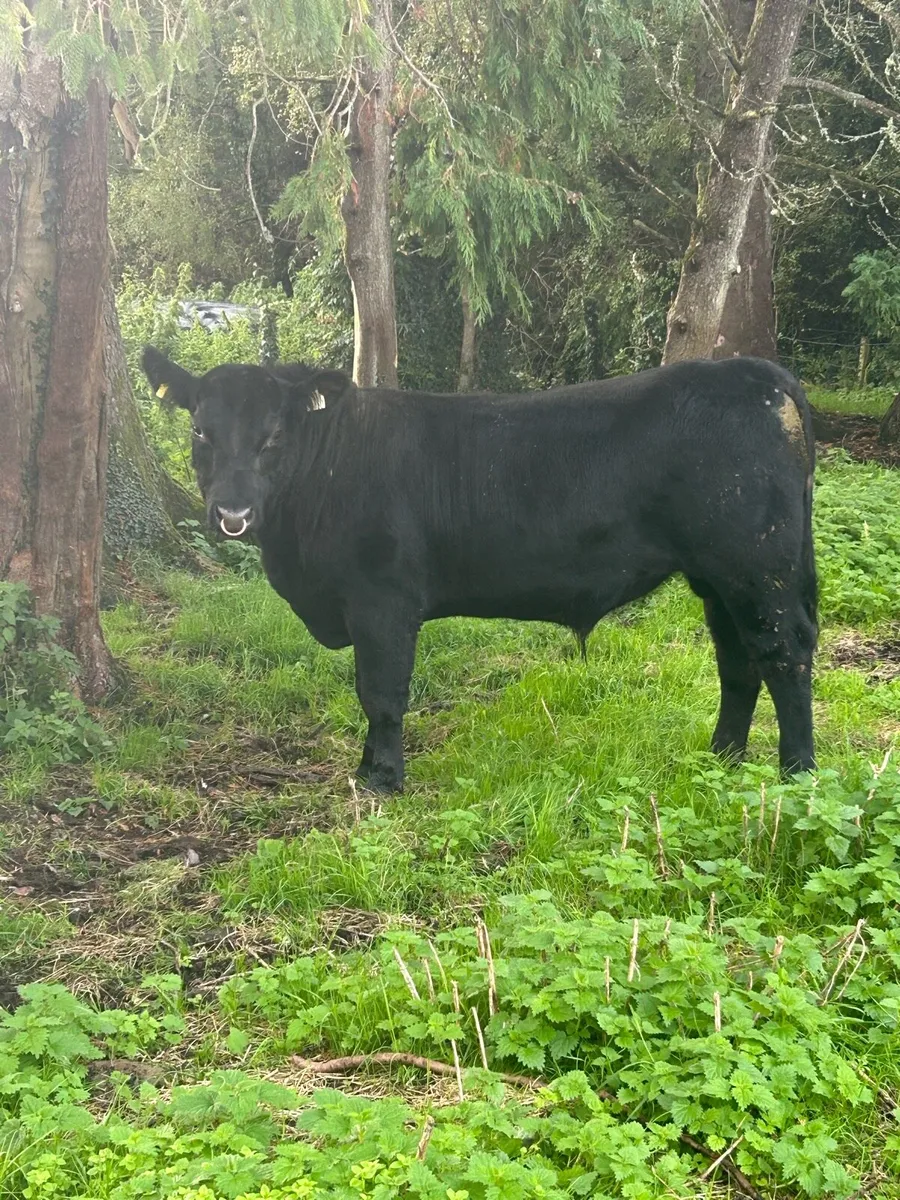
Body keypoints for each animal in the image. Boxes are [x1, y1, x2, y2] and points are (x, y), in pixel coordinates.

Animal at [141, 347, 818, 793]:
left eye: (274, 436)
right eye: (199, 430)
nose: (232, 513)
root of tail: (753, 371)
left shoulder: (383, 601)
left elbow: (380, 693)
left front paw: (382, 780)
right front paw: (367, 770)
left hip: (758, 566)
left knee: (783, 654)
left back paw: (797, 773)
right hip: (718, 578)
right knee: (737, 661)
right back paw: (722, 758)